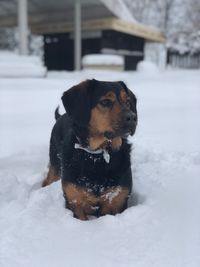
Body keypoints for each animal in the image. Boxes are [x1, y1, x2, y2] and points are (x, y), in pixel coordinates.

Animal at [42, 78, 138, 221]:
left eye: (127, 102)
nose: (132, 117)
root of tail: (60, 116)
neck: (96, 156)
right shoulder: (75, 202)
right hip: (55, 163)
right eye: (105, 102)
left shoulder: (117, 201)